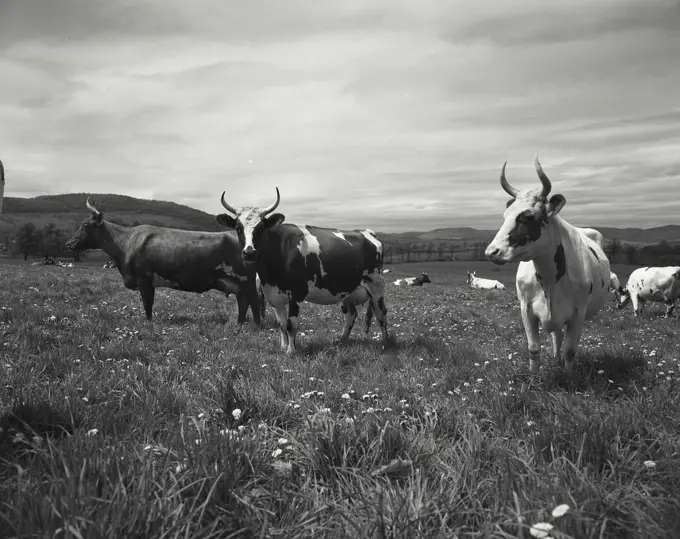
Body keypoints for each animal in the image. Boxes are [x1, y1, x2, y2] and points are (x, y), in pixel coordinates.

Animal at [65, 198, 262, 324]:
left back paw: (256, 326)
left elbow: (147, 305)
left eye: (85, 226)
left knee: (254, 300)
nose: (68, 243)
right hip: (235, 282)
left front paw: (149, 325)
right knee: (243, 301)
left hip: (247, 280)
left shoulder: (144, 279)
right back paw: (238, 325)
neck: (126, 242)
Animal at [218, 188, 388, 356]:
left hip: (376, 285)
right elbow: (281, 324)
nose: (249, 253)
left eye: (260, 228)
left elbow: (291, 325)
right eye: (238, 228)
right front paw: (282, 347)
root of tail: (366, 232)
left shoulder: (297, 293)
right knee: (351, 315)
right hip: (347, 292)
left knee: (381, 313)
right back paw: (341, 341)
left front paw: (291, 351)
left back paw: (385, 343)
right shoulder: (273, 297)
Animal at [484, 156, 612, 374]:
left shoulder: (578, 314)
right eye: (505, 216)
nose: (492, 252)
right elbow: (534, 348)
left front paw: (568, 376)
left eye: (528, 217)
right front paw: (534, 376)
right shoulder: (526, 310)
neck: (550, 279)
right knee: (556, 336)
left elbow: (570, 350)